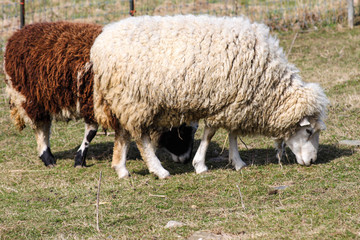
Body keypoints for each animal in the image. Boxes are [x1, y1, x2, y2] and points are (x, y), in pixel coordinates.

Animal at [3, 21, 197, 170]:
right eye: (182, 131)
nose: (185, 160)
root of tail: (19, 33)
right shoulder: (94, 101)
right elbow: (91, 132)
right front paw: (80, 160)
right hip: (27, 96)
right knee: (40, 128)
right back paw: (48, 158)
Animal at [90, 15, 330, 179]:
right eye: (308, 131)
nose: (312, 161)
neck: (267, 79)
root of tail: (100, 43)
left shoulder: (236, 101)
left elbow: (232, 133)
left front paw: (238, 162)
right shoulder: (223, 101)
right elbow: (210, 133)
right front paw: (200, 165)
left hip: (122, 99)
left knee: (123, 133)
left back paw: (121, 169)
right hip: (136, 100)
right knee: (141, 138)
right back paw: (159, 170)